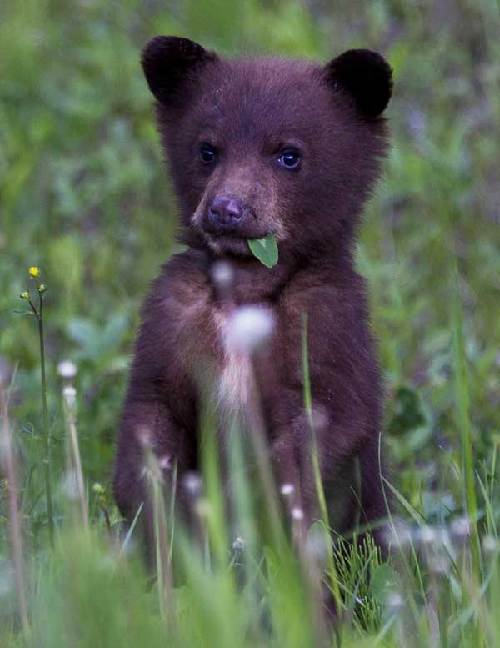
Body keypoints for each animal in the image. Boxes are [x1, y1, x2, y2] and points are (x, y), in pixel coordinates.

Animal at [113, 36, 392, 552]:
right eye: (207, 149)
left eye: (288, 155)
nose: (227, 208)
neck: (245, 289)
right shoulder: (171, 315)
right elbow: (153, 410)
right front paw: (164, 523)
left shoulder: (327, 322)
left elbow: (323, 426)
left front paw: (250, 514)